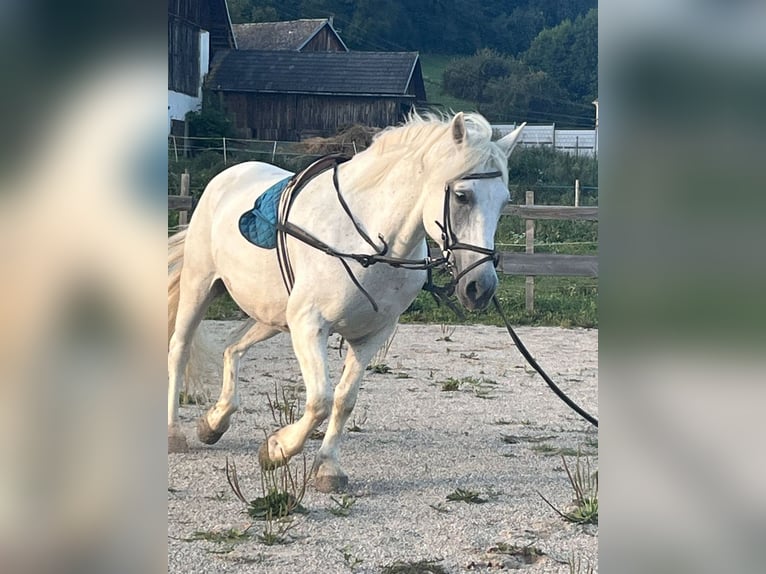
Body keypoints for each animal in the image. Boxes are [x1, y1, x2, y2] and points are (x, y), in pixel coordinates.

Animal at [168, 112, 525, 492]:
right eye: (461, 196)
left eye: (504, 202)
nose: (480, 287)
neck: (371, 246)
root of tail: (228, 176)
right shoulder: (310, 326)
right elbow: (320, 401)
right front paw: (277, 449)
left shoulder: (371, 336)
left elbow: (344, 400)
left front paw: (327, 467)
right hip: (199, 287)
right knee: (179, 349)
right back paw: (175, 433)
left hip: (274, 317)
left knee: (233, 349)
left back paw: (214, 422)